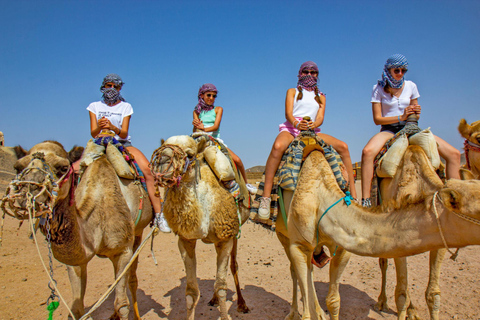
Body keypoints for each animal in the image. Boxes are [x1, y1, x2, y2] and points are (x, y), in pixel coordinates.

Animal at [1, 142, 152, 320]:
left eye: (63, 167)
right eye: (17, 167)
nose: (28, 193)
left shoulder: (123, 251)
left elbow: (122, 304)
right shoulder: (76, 261)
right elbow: (76, 309)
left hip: (137, 233)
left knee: (132, 278)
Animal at [151, 134, 251, 320]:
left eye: (189, 154)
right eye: (162, 148)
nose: (161, 162)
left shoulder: (226, 236)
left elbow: (221, 286)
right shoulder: (185, 240)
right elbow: (191, 291)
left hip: (234, 233)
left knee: (234, 266)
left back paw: (242, 304)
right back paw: (213, 300)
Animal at [280, 144, 480, 318]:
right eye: (478, 209)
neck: (322, 197)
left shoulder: (342, 247)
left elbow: (334, 301)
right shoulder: (298, 245)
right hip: (283, 236)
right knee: (294, 271)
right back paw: (293, 313)